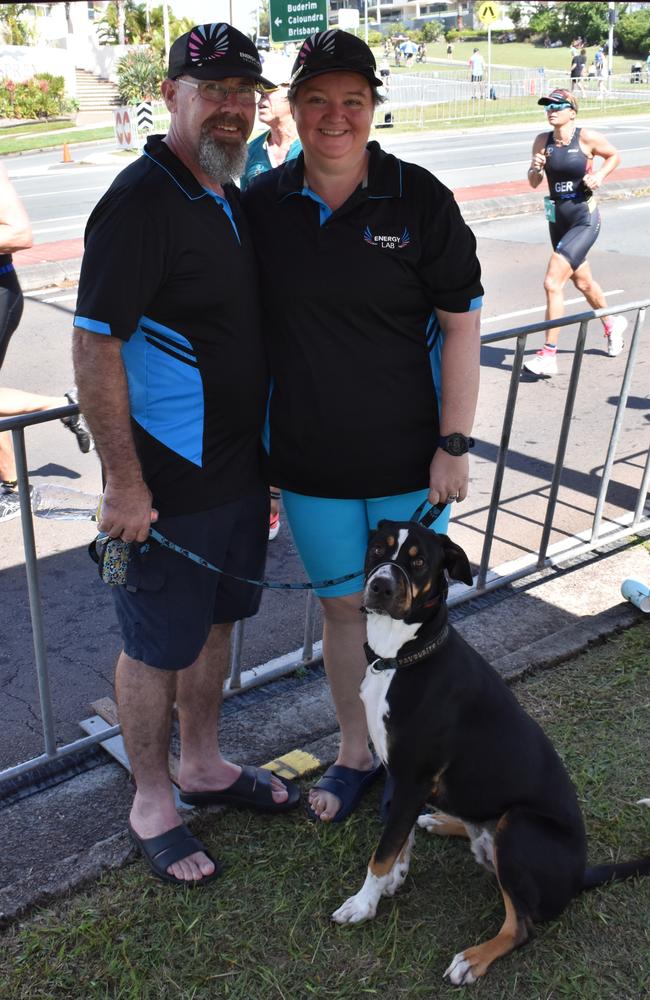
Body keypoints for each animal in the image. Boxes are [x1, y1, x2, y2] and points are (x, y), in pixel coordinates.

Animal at [332, 520, 644, 988]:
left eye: (418, 561)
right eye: (378, 549)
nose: (381, 586)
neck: (402, 656)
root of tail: (579, 875)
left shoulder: (414, 777)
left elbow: (382, 852)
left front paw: (364, 902)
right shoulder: (402, 780)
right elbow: (396, 838)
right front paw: (394, 879)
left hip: (517, 826)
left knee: (521, 926)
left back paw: (473, 958)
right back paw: (440, 822)